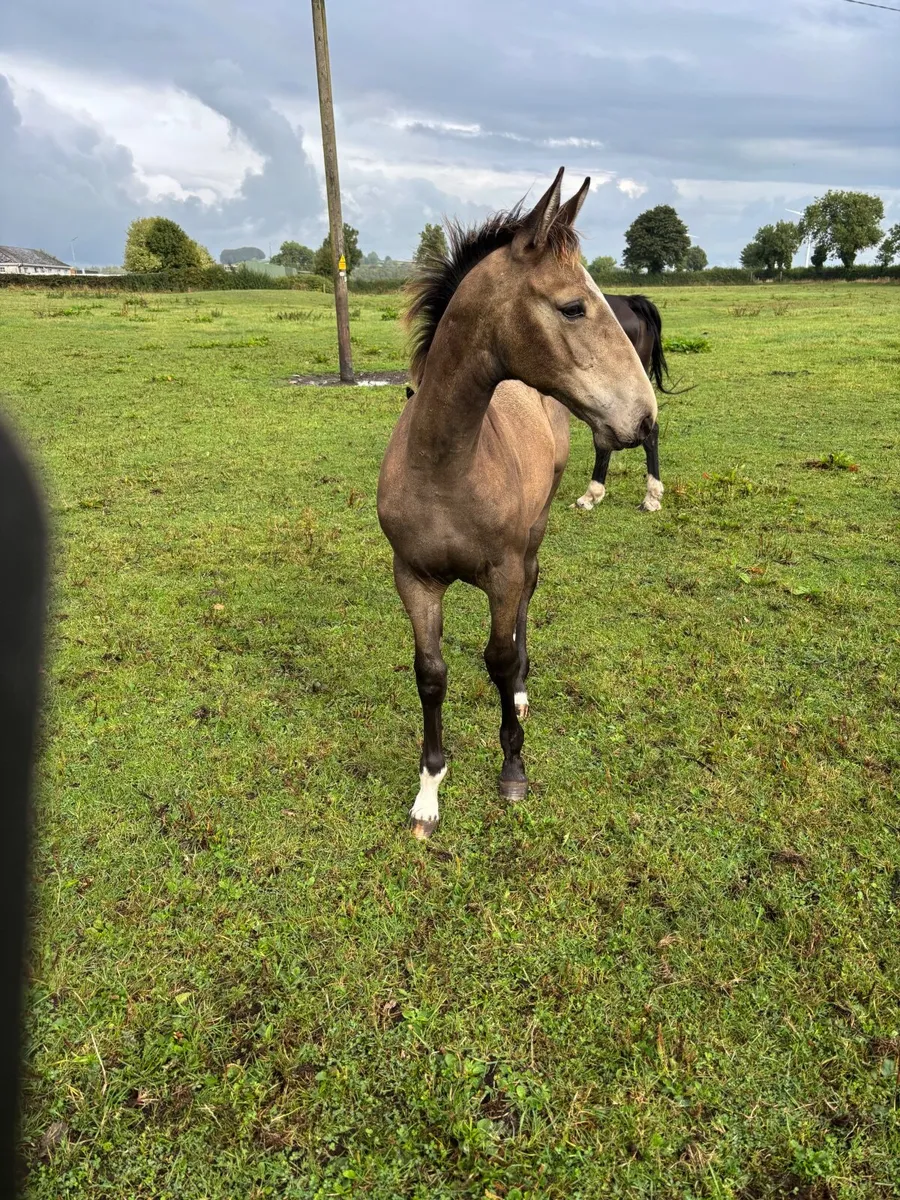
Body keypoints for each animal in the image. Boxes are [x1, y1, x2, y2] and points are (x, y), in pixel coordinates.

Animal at [376, 168, 657, 838]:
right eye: (574, 306)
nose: (645, 417)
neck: (446, 468)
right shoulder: (413, 578)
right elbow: (431, 674)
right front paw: (429, 791)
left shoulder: (500, 573)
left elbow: (499, 659)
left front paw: (512, 768)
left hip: (536, 528)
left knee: (530, 592)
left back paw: (525, 693)